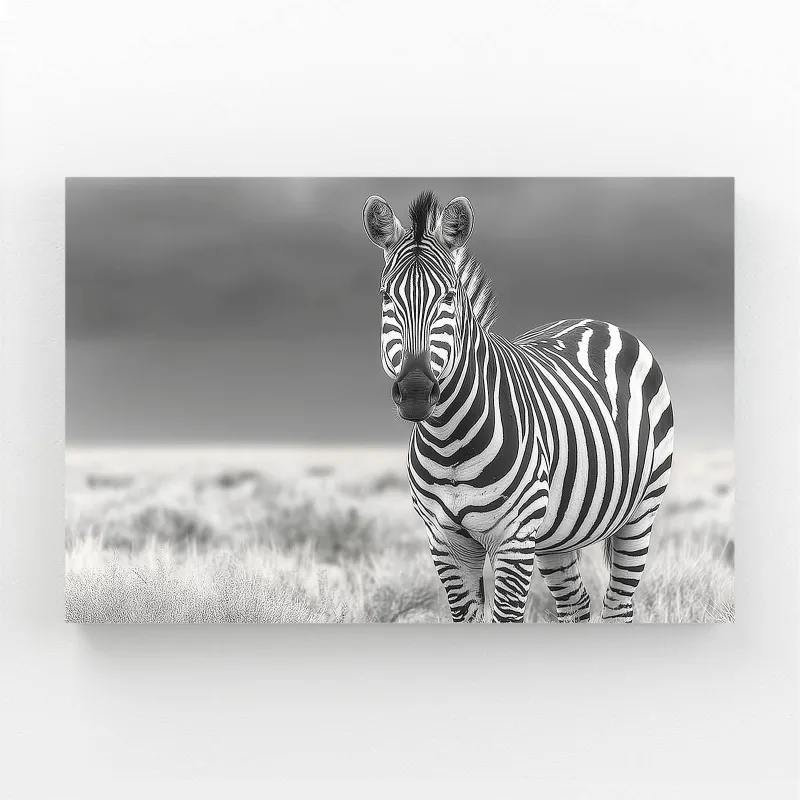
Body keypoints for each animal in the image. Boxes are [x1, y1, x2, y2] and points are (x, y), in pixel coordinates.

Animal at [363, 190, 674, 623]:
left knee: (618, 605)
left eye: (449, 297)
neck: (449, 441)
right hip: (558, 533)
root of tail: (596, 322)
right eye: (386, 297)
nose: (415, 392)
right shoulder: (444, 541)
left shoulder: (515, 537)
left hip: (641, 512)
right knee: (575, 605)